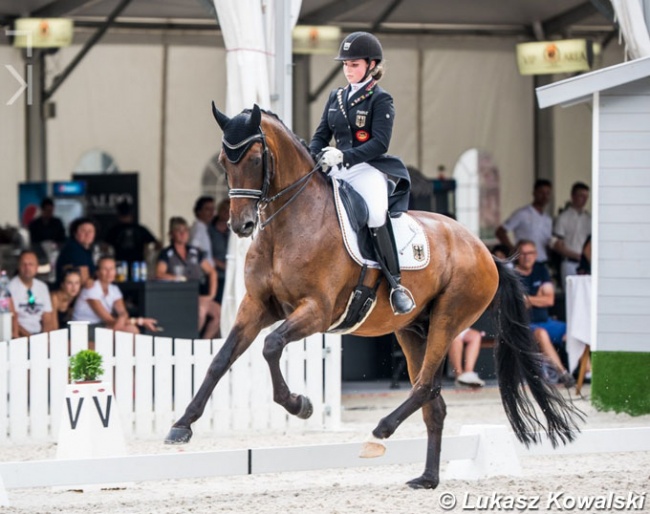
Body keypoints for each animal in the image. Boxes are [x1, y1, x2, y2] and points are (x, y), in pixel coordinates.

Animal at [165, 103, 580, 484]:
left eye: (253, 158)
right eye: (224, 161)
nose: (242, 225)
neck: (288, 227)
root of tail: (484, 251)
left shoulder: (317, 311)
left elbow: (271, 346)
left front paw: (300, 405)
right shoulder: (256, 307)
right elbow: (220, 360)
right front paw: (181, 425)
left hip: (448, 319)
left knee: (426, 386)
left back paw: (380, 432)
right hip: (412, 330)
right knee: (433, 401)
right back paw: (426, 478)